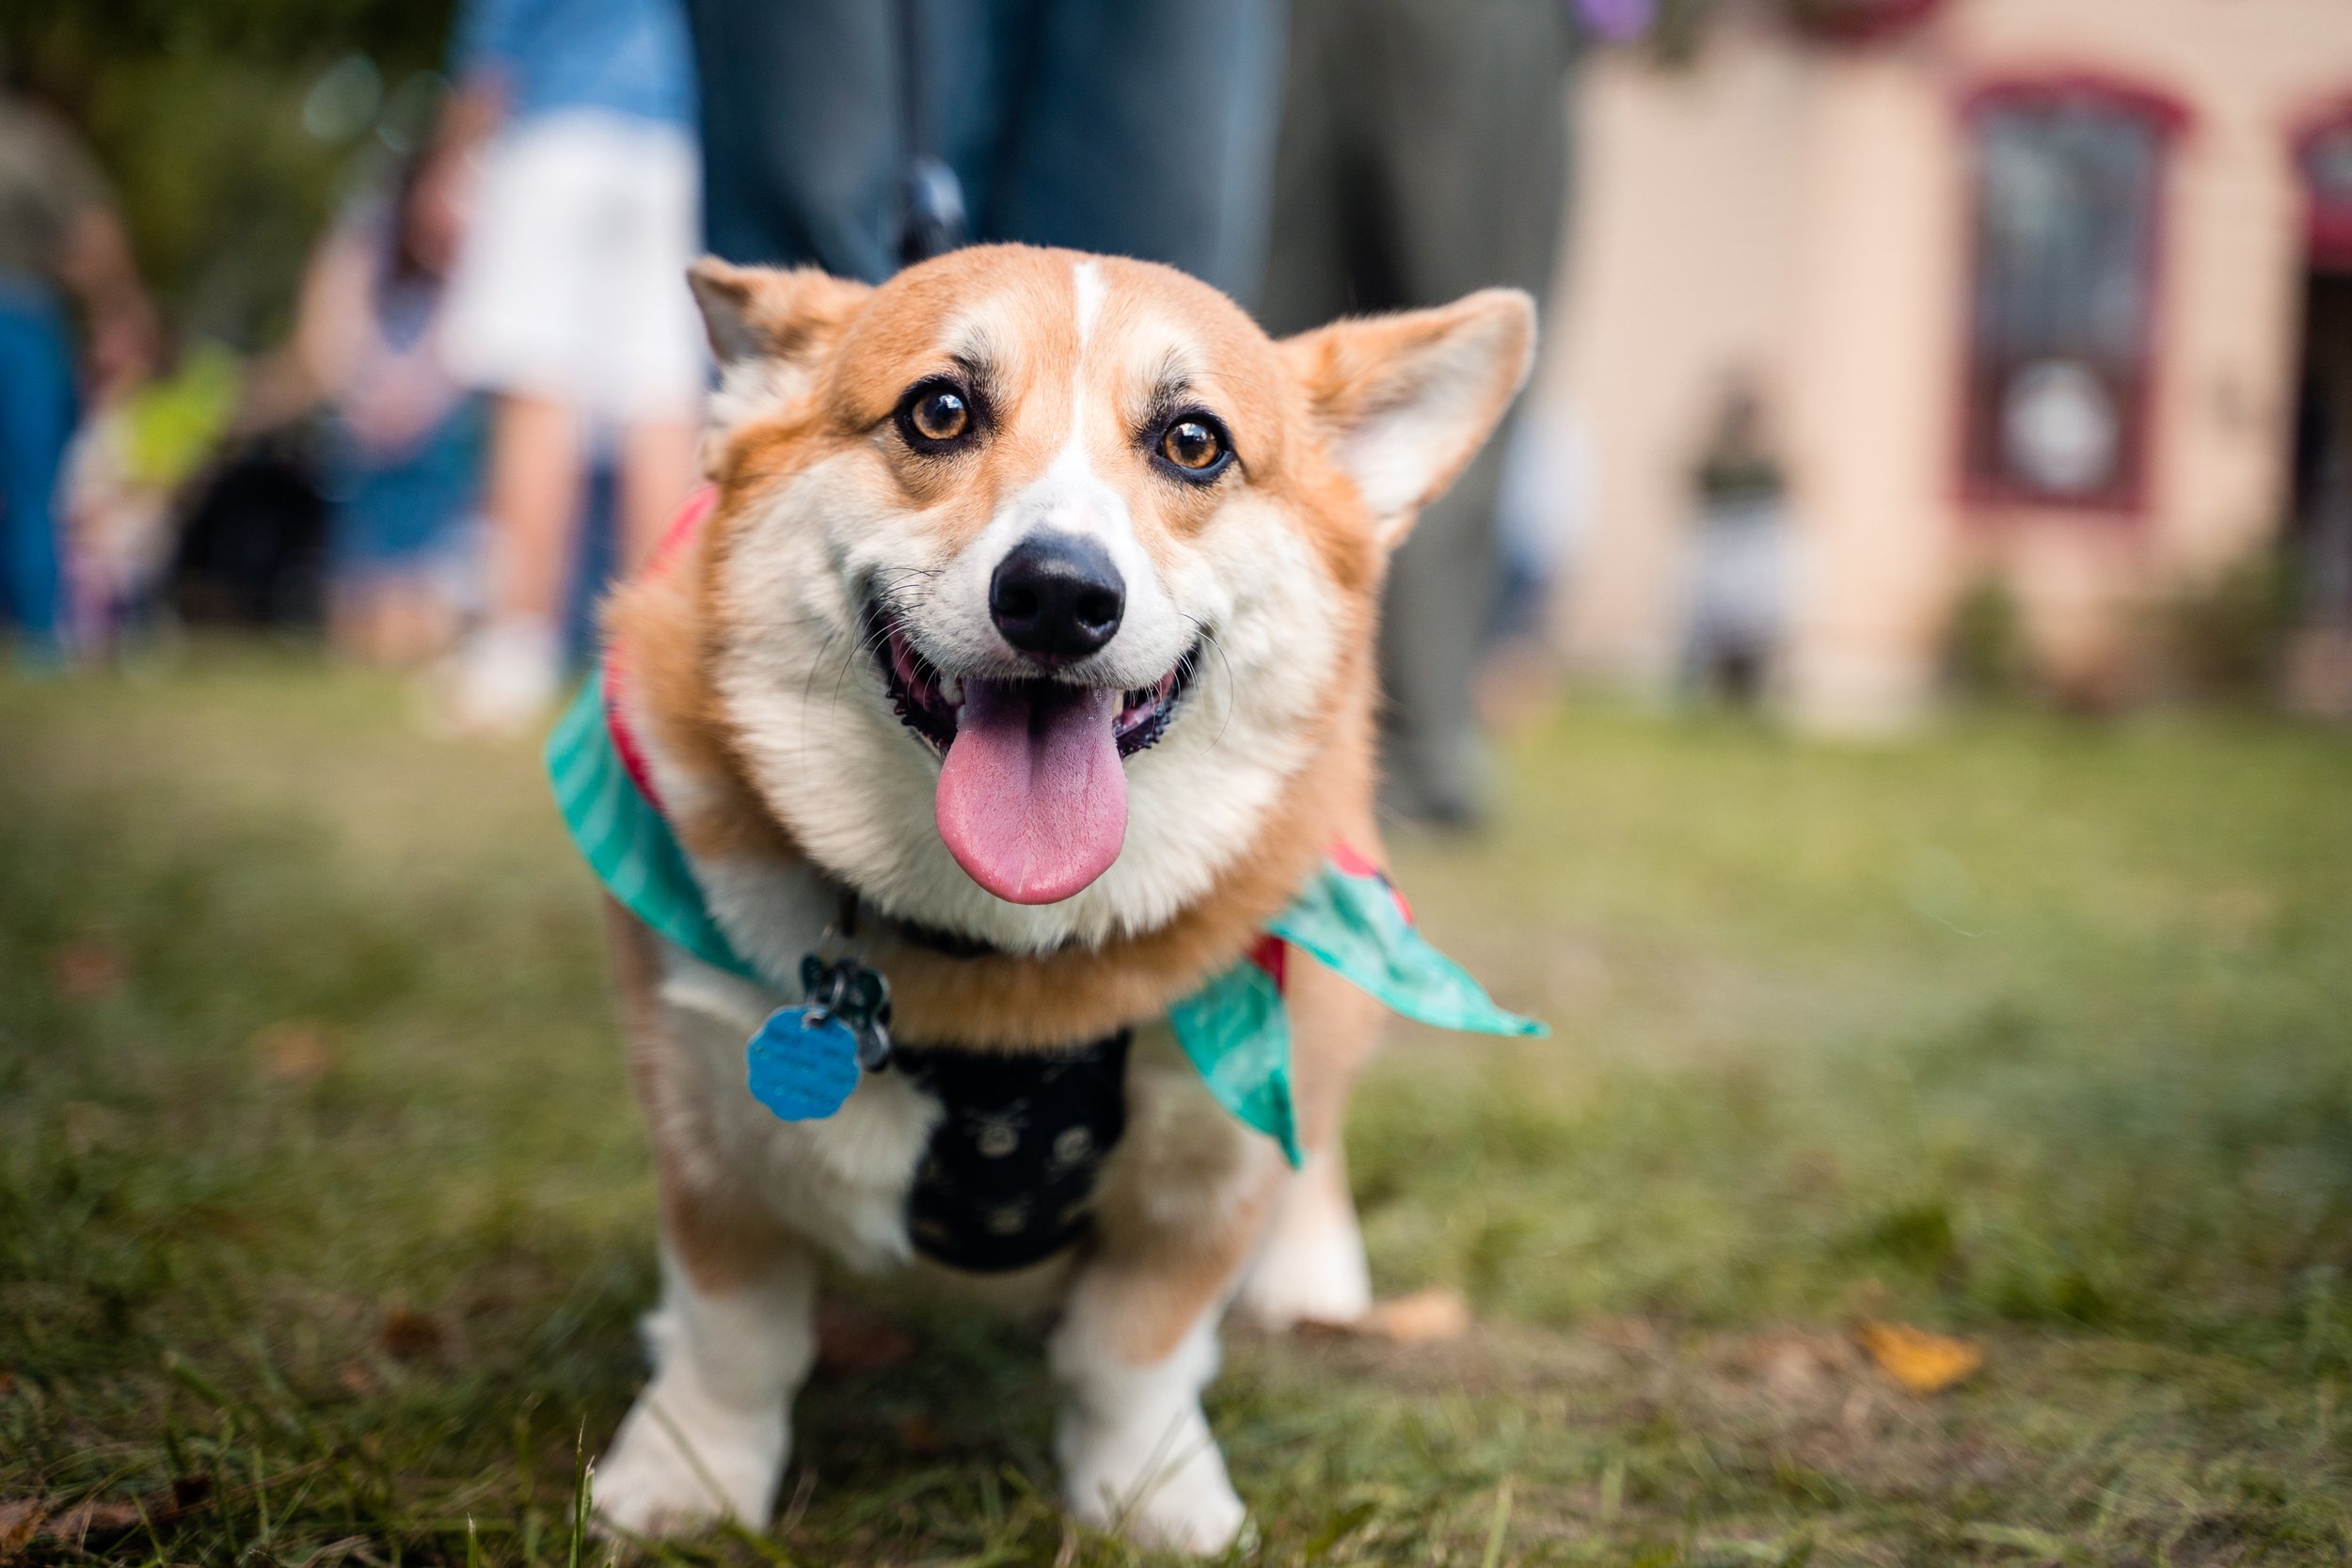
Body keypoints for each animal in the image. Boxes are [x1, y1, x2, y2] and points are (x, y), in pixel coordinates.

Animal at [562, 247, 1534, 1560]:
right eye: (938, 410)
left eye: (1192, 441)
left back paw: (1312, 1268)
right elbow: (732, 1334)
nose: (1061, 595)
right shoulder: (707, 1118)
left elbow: (1134, 1355)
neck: (1004, 952)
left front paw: (1154, 1499)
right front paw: (687, 1478)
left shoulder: (1211, 1157)